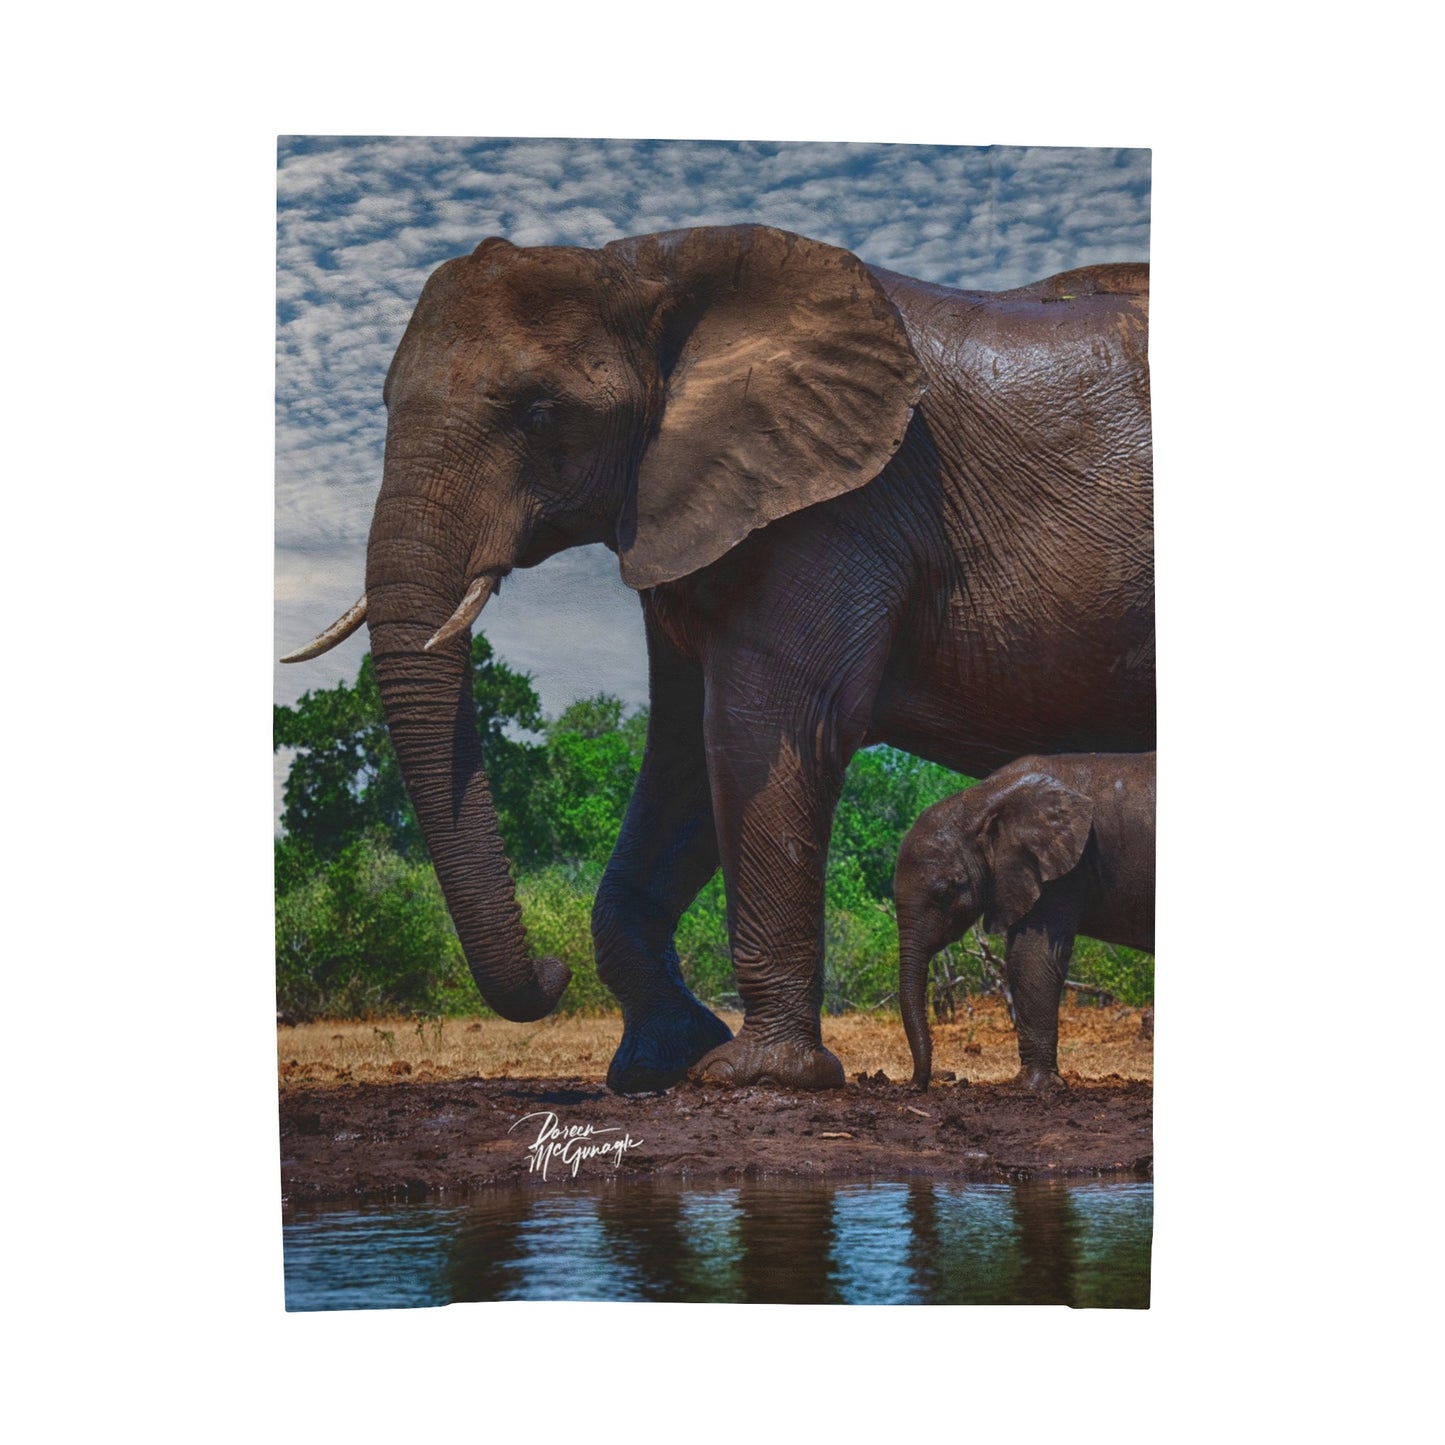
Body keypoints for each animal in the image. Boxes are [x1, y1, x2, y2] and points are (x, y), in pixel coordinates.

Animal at [894, 752, 1156, 1090]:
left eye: (946, 892)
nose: (916, 1086)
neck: (981, 800)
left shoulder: (1063, 868)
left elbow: (1029, 956)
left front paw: (1034, 1087)